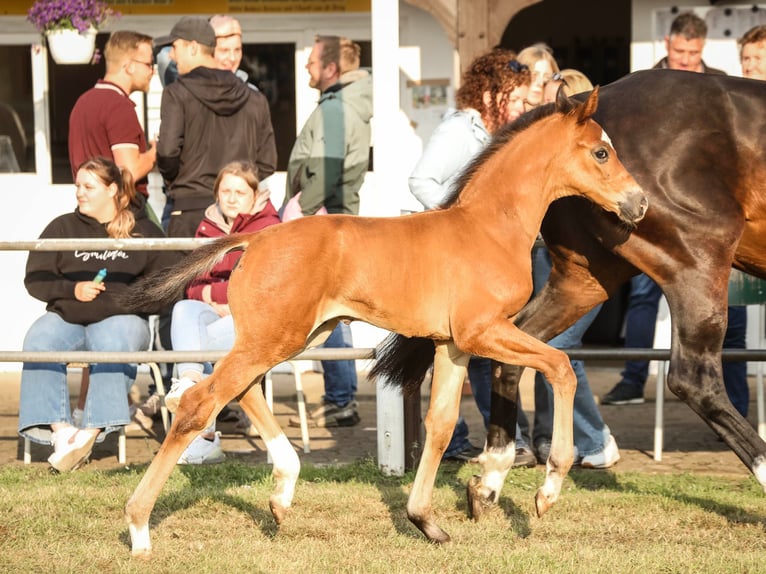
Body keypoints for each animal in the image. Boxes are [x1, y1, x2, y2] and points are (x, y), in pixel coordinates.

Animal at [122, 88, 647, 555]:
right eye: (601, 152)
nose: (638, 203)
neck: (489, 228)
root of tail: (254, 240)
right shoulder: (483, 331)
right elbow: (560, 366)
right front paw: (547, 491)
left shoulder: (454, 344)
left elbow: (441, 423)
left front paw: (425, 521)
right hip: (275, 337)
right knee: (200, 403)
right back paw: (140, 528)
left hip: (291, 336)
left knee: (243, 390)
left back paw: (282, 494)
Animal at [373, 69, 766, 526]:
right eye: (601, 152)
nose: (639, 203)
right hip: (698, 263)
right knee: (694, 379)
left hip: (584, 281)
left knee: (520, 354)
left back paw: (491, 481)